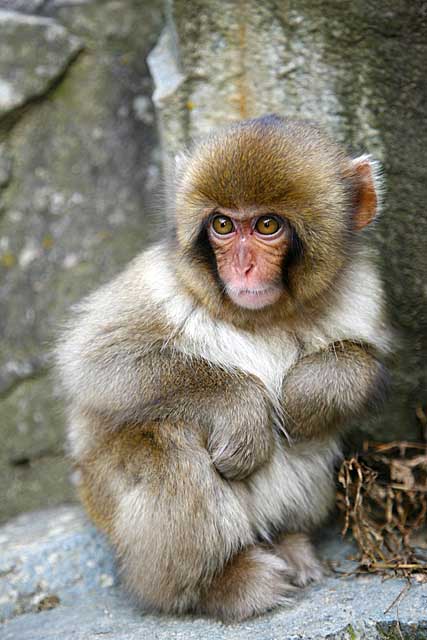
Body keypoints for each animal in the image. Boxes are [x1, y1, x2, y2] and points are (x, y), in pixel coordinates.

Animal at [57, 114, 392, 620]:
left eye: (267, 225)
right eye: (222, 225)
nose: (243, 266)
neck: (263, 317)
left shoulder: (362, 289)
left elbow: (362, 359)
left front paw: (305, 397)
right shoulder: (157, 283)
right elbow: (99, 361)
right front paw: (242, 409)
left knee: (311, 445)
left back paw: (290, 540)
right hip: (108, 504)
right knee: (168, 444)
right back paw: (219, 584)